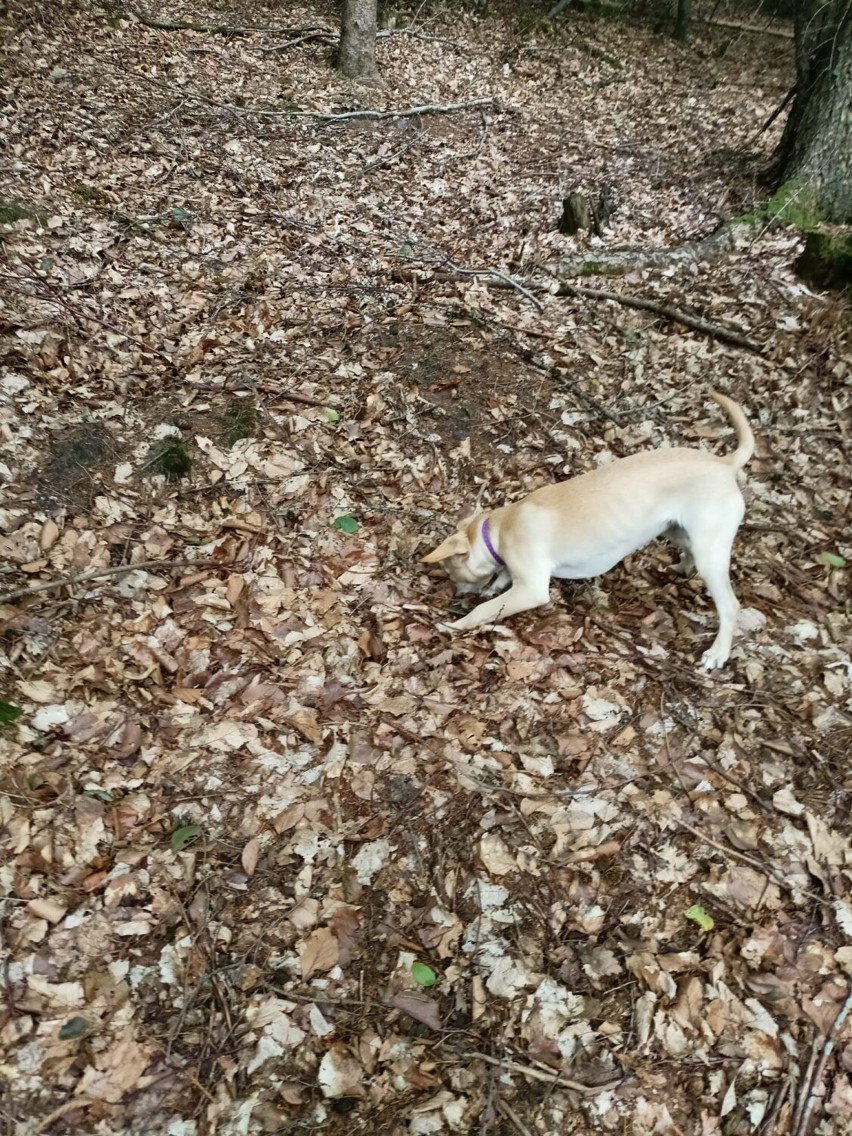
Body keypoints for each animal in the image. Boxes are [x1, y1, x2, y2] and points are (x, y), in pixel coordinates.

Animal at [424, 395, 758, 667]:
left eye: (452, 572)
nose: (454, 597)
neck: (500, 527)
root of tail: (725, 464)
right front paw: (495, 583)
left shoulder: (532, 589)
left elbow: (485, 610)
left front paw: (454, 625)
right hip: (677, 530)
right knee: (688, 551)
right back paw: (681, 567)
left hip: (710, 552)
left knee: (730, 605)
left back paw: (718, 653)